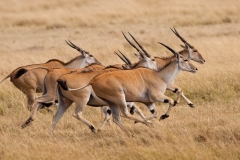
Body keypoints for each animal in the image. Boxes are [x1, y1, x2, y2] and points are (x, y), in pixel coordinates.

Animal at [63, 42, 197, 134]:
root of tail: (93, 80)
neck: (159, 75)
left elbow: (154, 113)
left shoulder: (148, 102)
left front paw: (146, 120)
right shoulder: (156, 97)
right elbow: (170, 101)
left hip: (112, 102)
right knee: (123, 114)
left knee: (116, 117)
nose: (195, 68)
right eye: (185, 59)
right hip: (119, 99)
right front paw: (163, 117)